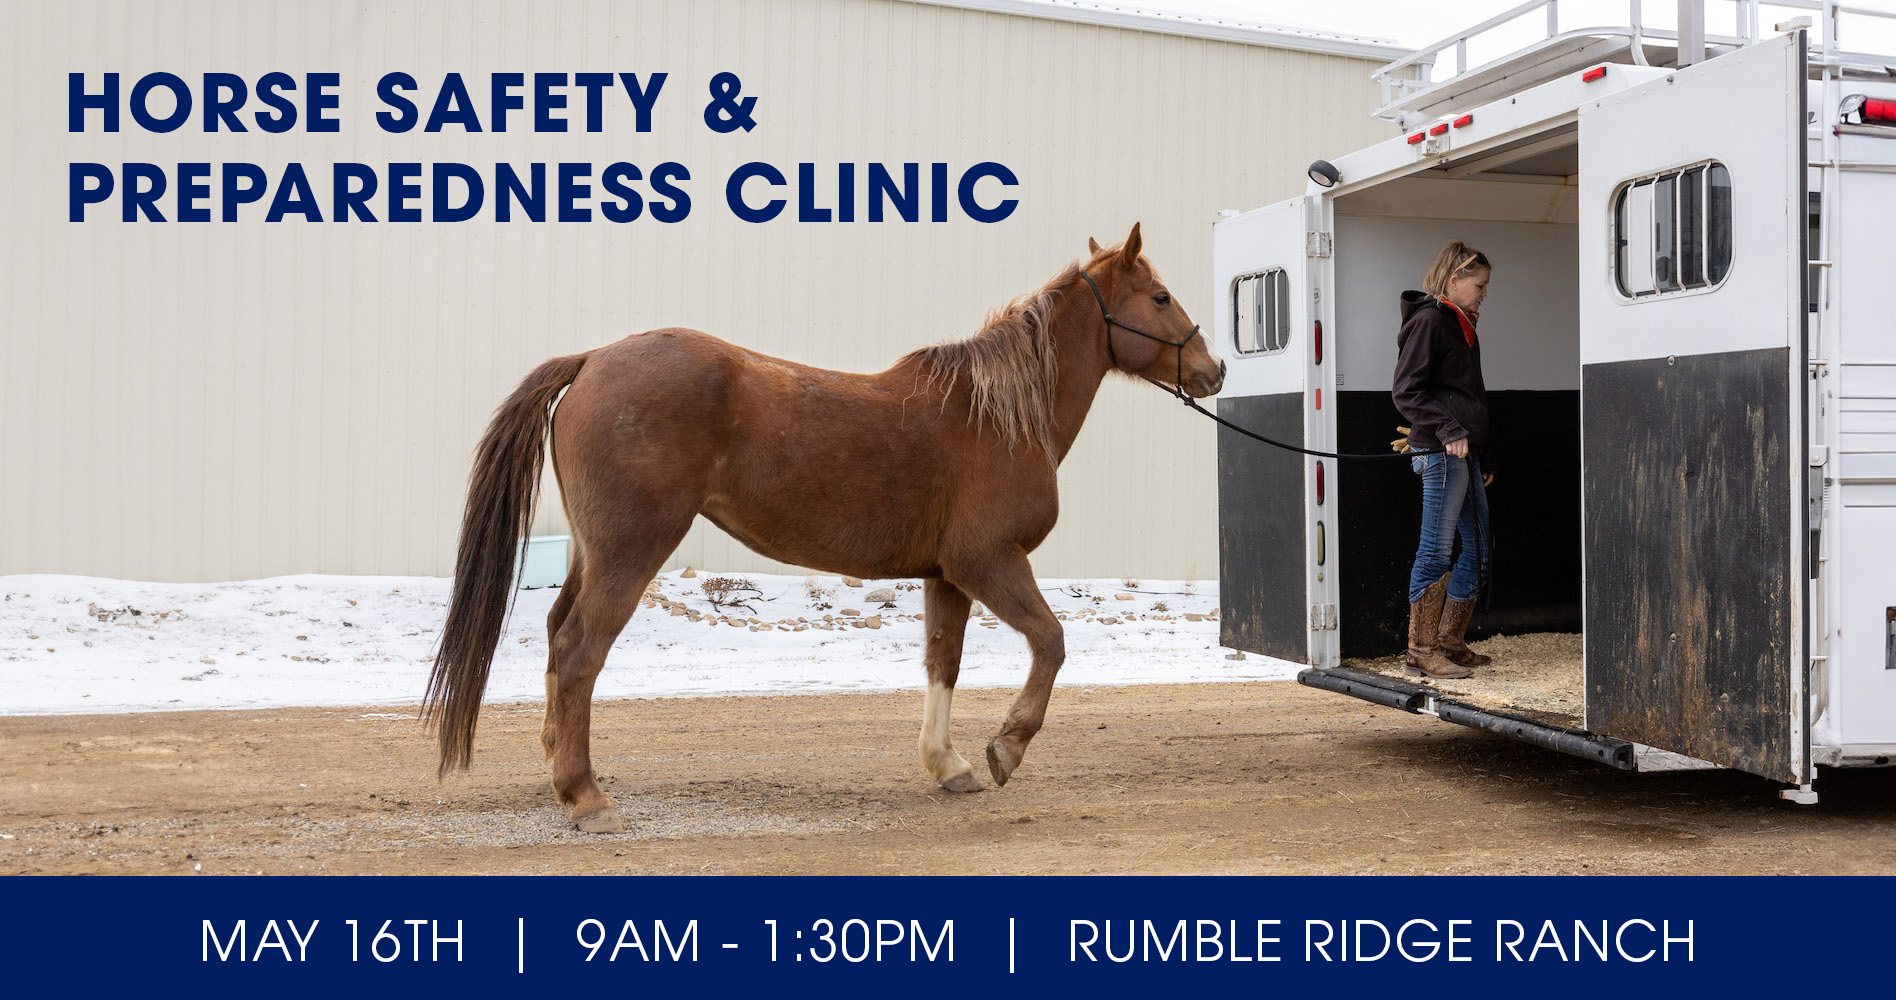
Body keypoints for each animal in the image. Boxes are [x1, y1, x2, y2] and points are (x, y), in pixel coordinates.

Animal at [425, 222, 1225, 832]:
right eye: (1160, 296)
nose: (1213, 369)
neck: (994, 416)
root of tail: (592, 360)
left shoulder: (947, 577)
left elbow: (943, 664)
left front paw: (950, 764)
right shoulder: (990, 563)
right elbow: (1051, 643)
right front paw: (1006, 748)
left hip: (595, 552)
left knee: (557, 636)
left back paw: (559, 770)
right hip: (630, 551)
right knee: (579, 650)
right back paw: (587, 798)